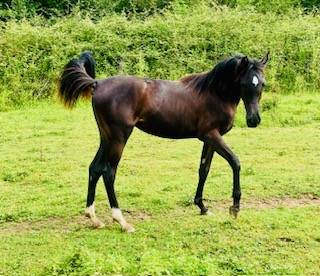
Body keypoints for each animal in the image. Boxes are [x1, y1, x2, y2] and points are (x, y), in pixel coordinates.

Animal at [59, 51, 268, 231]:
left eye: (262, 84)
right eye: (245, 83)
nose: (254, 120)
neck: (214, 93)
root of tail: (97, 83)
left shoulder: (209, 139)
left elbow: (204, 170)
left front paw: (202, 207)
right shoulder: (211, 136)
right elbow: (235, 162)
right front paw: (235, 208)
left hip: (106, 137)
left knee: (95, 168)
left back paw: (93, 218)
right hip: (119, 137)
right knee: (109, 172)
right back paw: (122, 221)